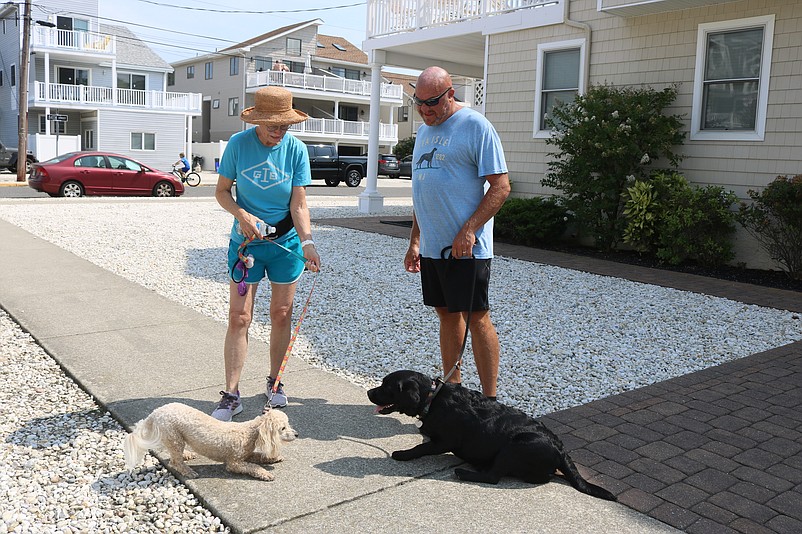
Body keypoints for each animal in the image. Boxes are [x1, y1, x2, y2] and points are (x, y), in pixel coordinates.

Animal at [123, 404, 298, 484]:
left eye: (289, 424)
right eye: (283, 428)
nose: (297, 434)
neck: (249, 432)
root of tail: (156, 412)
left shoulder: (246, 454)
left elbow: (259, 457)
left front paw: (274, 458)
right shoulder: (234, 463)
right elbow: (253, 467)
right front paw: (266, 474)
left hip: (174, 437)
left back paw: (187, 455)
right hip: (173, 435)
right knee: (175, 461)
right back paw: (188, 471)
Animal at [368, 372, 612, 502]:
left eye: (386, 386)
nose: (369, 392)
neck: (432, 398)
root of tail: (560, 448)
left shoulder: (446, 441)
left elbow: (422, 447)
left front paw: (403, 454)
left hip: (514, 446)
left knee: (494, 477)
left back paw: (465, 472)